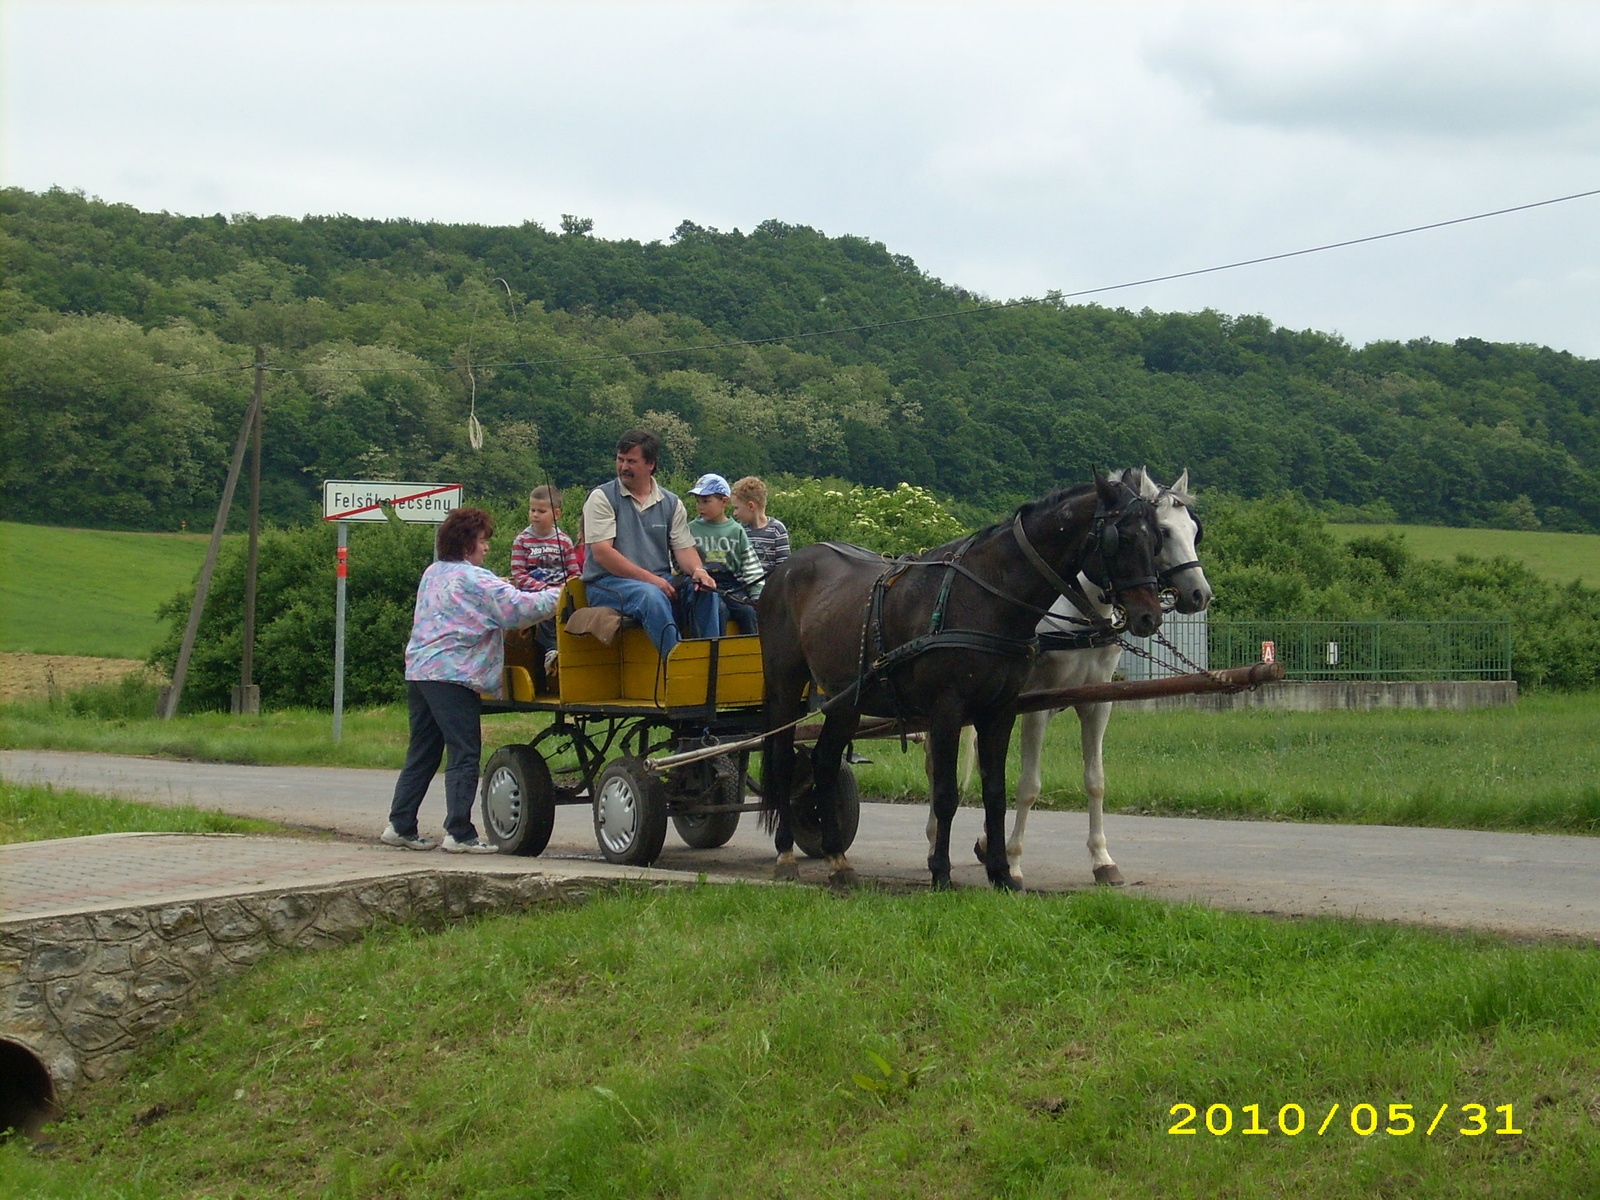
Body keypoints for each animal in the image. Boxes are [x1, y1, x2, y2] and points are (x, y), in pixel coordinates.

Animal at [761, 476, 1164, 896]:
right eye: (1122, 538)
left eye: (1156, 539)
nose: (1150, 616)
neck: (988, 595)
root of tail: (786, 568)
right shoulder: (947, 710)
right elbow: (945, 793)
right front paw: (941, 871)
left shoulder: (1000, 710)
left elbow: (996, 793)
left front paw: (1002, 872)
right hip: (786, 686)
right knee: (782, 761)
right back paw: (785, 854)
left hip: (845, 700)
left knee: (824, 762)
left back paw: (837, 858)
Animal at [928, 467, 1209, 883]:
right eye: (1164, 532)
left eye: (1193, 530)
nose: (1199, 594)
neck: (1080, 614)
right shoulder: (1035, 706)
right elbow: (1028, 784)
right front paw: (1013, 860)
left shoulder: (1096, 703)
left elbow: (1096, 780)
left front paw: (1102, 860)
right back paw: (936, 842)